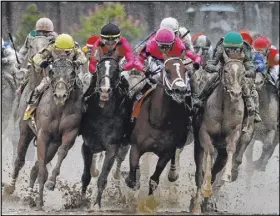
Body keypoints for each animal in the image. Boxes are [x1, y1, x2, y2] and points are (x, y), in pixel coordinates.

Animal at [3, 57, 83, 209]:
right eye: (52, 72)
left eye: (72, 73)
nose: (60, 95)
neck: (59, 108)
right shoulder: (43, 134)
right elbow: (40, 167)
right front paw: (40, 199)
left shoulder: (70, 132)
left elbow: (62, 152)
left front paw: (51, 182)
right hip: (25, 130)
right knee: (20, 159)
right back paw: (10, 187)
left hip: (52, 144)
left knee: (36, 166)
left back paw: (29, 197)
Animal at [79, 54, 131, 208]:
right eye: (98, 68)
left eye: (116, 70)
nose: (104, 90)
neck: (103, 115)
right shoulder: (87, 146)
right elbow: (86, 175)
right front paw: (81, 200)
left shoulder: (112, 148)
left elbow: (102, 177)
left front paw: (97, 204)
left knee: (119, 161)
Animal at [124, 56, 190, 197]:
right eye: (167, 70)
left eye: (185, 70)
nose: (180, 91)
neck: (158, 122)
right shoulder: (136, 148)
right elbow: (133, 180)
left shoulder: (166, 152)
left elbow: (154, 180)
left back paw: (172, 174)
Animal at [190, 53, 247, 213]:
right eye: (226, 71)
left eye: (243, 72)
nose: (235, 93)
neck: (224, 107)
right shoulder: (204, 133)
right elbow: (209, 151)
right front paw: (206, 188)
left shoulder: (235, 132)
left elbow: (231, 148)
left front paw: (227, 175)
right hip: (197, 146)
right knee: (199, 173)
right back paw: (197, 204)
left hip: (221, 154)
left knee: (217, 167)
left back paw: (208, 202)